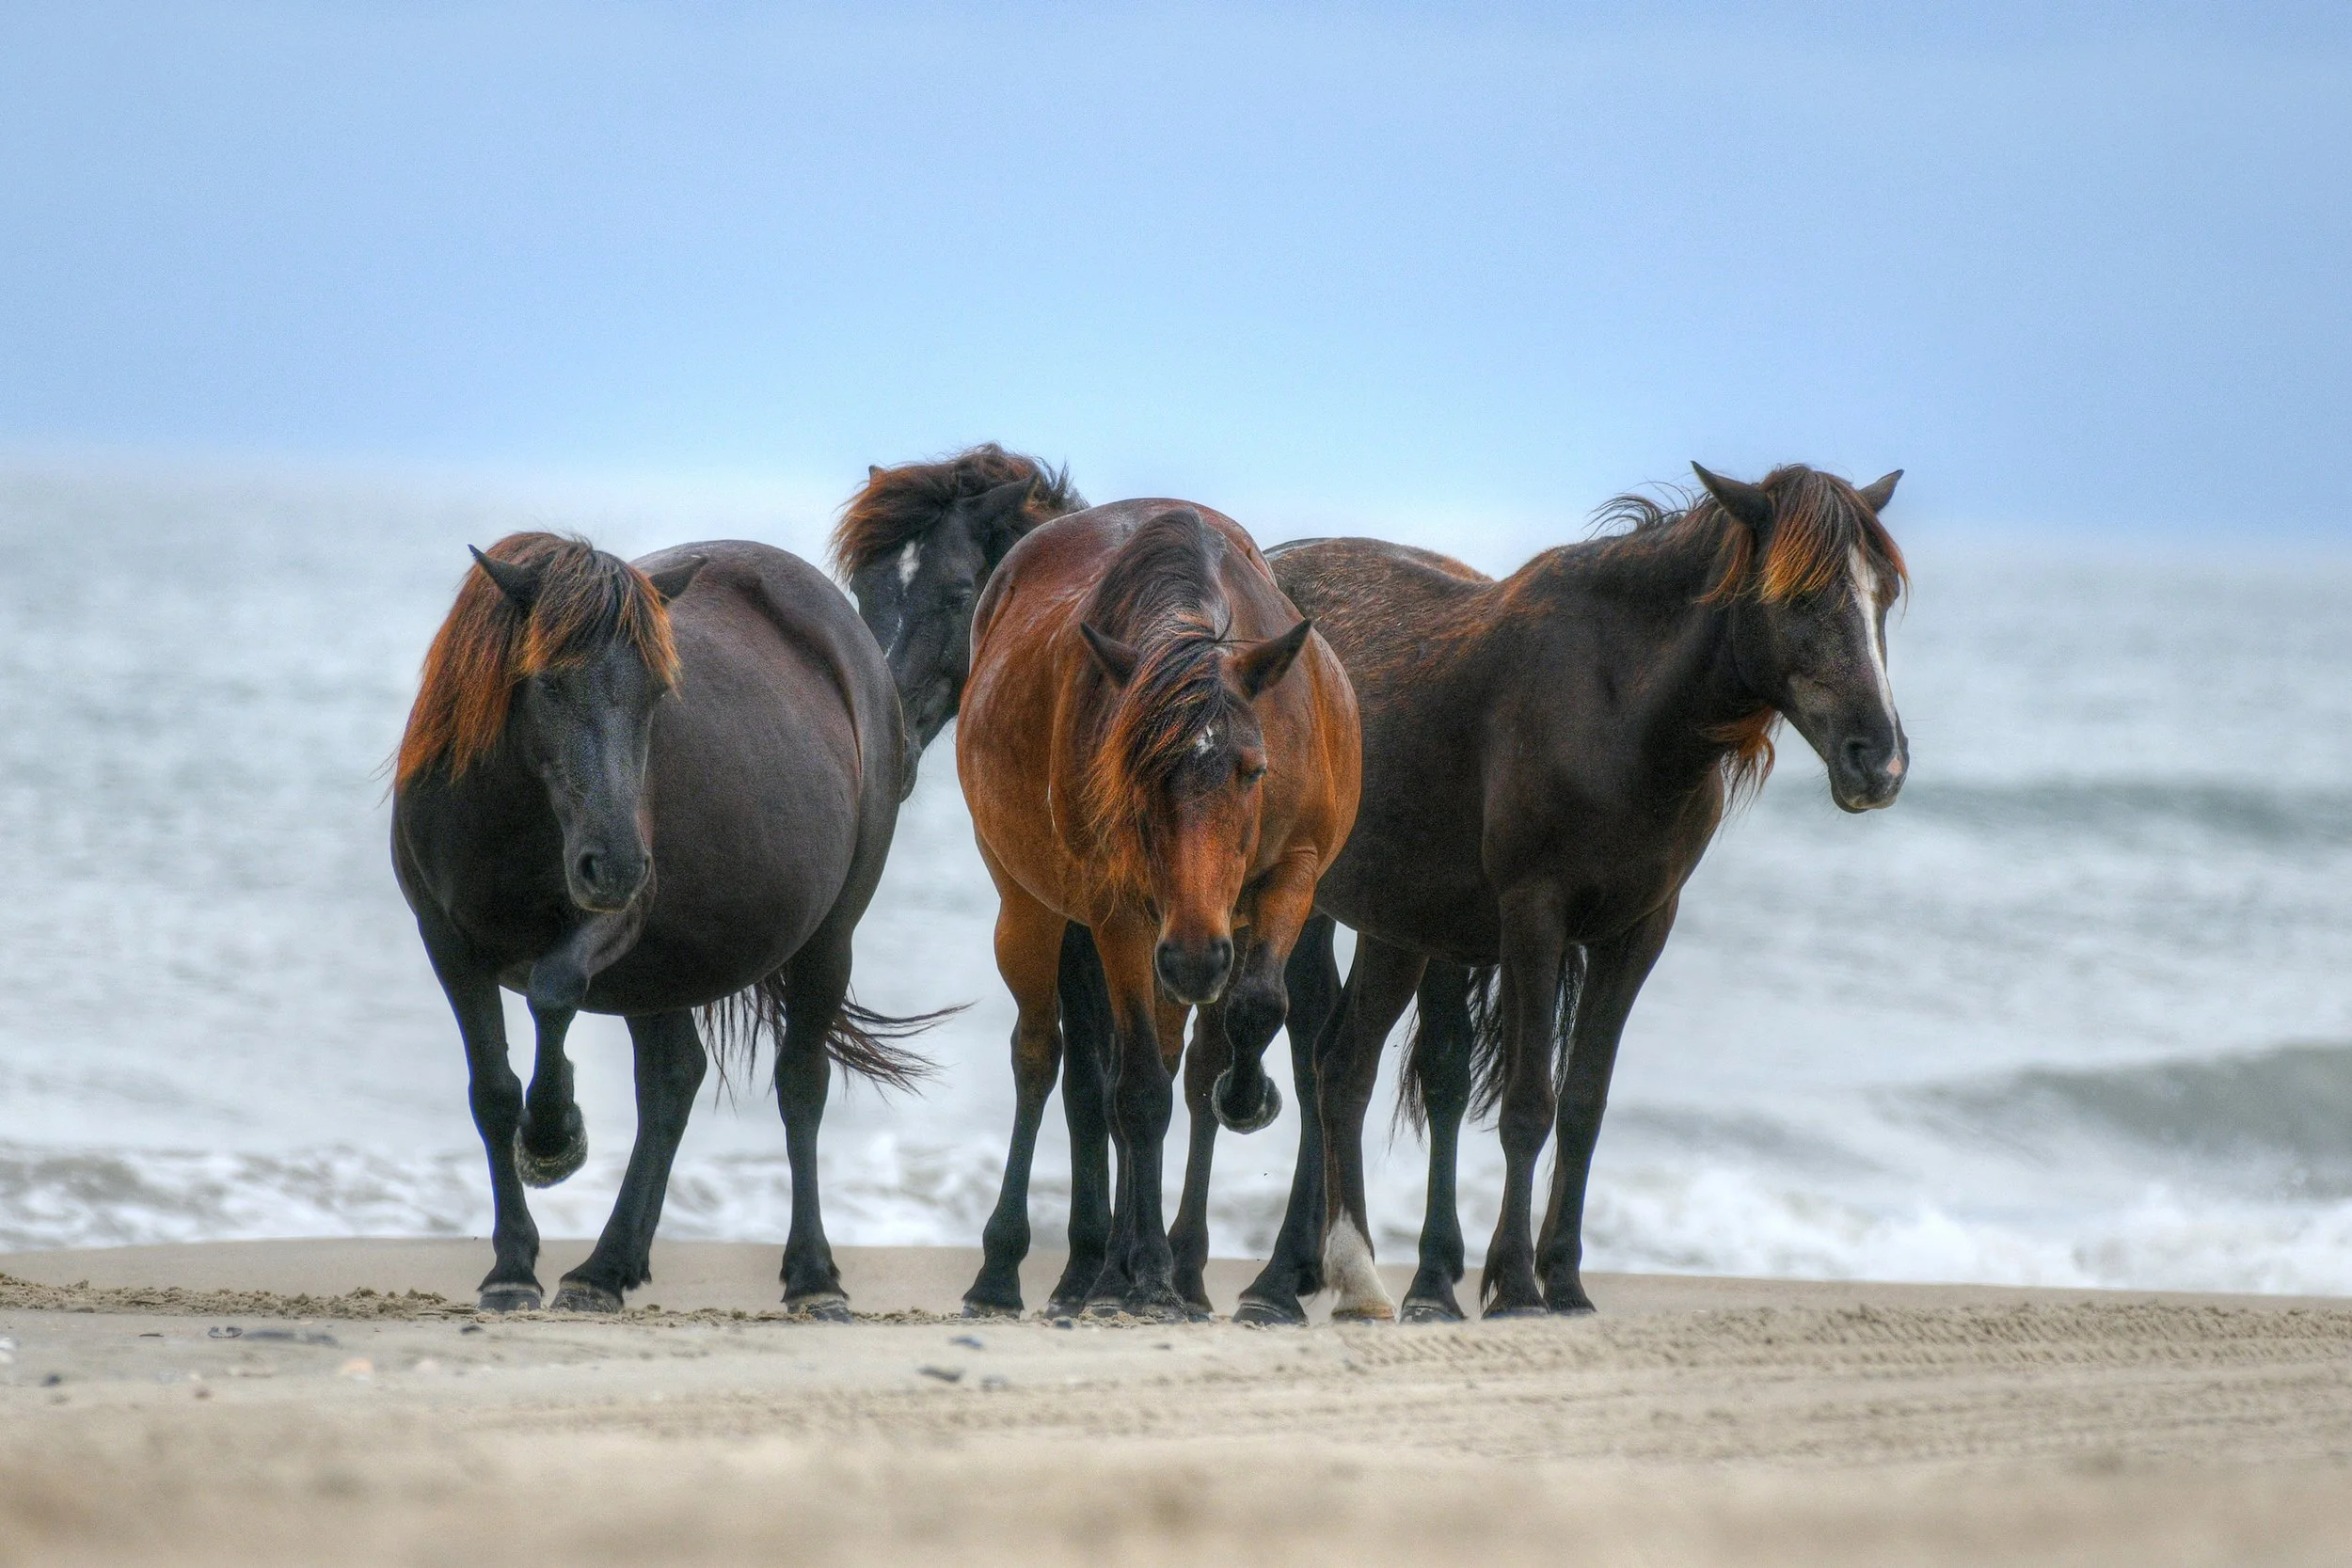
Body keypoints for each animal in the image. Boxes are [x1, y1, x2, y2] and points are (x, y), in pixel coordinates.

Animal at [392, 531, 925, 1315]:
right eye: (547, 682)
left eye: (656, 693)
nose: (615, 862)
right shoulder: (447, 943)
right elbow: (492, 1091)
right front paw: (511, 1266)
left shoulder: (612, 924)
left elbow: (553, 989)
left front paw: (553, 1136)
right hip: (660, 972)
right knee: (673, 1080)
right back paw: (604, 1268)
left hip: (826, 940)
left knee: (800, 1083)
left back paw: (813, 1277)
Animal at [954, 501, 1361, 1320]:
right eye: (1134, 773)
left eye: (1253, 770)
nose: (1195, 956)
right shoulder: (1118, 912)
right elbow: (1136, 1088)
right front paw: (1139, 1272)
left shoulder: (1292, 875)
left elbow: (1256, 1009)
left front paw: (1246, 1095)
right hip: (1031, 909)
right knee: (1040, 1055)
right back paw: (1028, 1270)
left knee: (1182, 1058)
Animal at [1240, 462, 1909, 1321]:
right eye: (1799, 598)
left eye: (1881, 596)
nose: (1880, 761)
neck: (1615, 707)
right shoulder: (1535, 915)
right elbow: (1530, 1104)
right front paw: (1517, 1284)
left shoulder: (1639, 930)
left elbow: (1585, 1104)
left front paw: (1563, 1279)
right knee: (1319, 1061)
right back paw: (1303, 1276)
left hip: (1399, 925)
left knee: (1344, 1065)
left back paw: (1343, 1273)